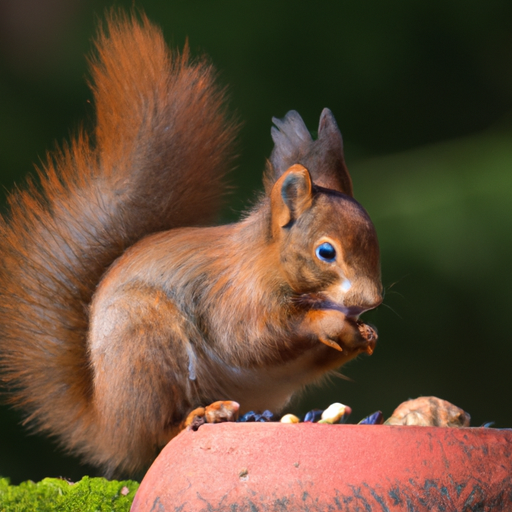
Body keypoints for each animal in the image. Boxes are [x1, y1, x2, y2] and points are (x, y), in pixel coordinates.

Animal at [0, 13, 382, 476]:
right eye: (326, 252)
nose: (371, 301)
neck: (266, 264)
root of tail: (109, 427)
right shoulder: (230, 297)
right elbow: (252, 340)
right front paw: (328, 323)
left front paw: (364, 334)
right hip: (145, 344)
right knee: (159, 429)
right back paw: (200, 415)